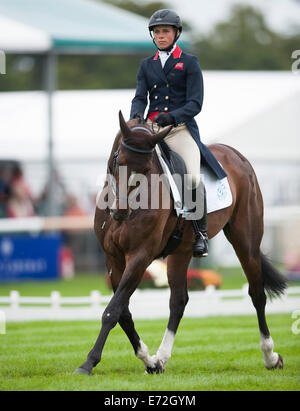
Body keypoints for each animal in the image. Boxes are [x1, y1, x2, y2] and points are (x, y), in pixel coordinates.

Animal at [74, 110, 286, 376]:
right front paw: (149, 361)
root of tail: (235, 155)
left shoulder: (141, 255)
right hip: (181, 251)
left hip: (245, 241)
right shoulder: (112, 257)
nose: (120, 211)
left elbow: (113, 310)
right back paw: (162, 358)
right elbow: (123, 312)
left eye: (146, 168)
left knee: (257, 293)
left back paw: (270, 356)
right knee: (178, 301)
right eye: (118, 160)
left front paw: (89, 362)